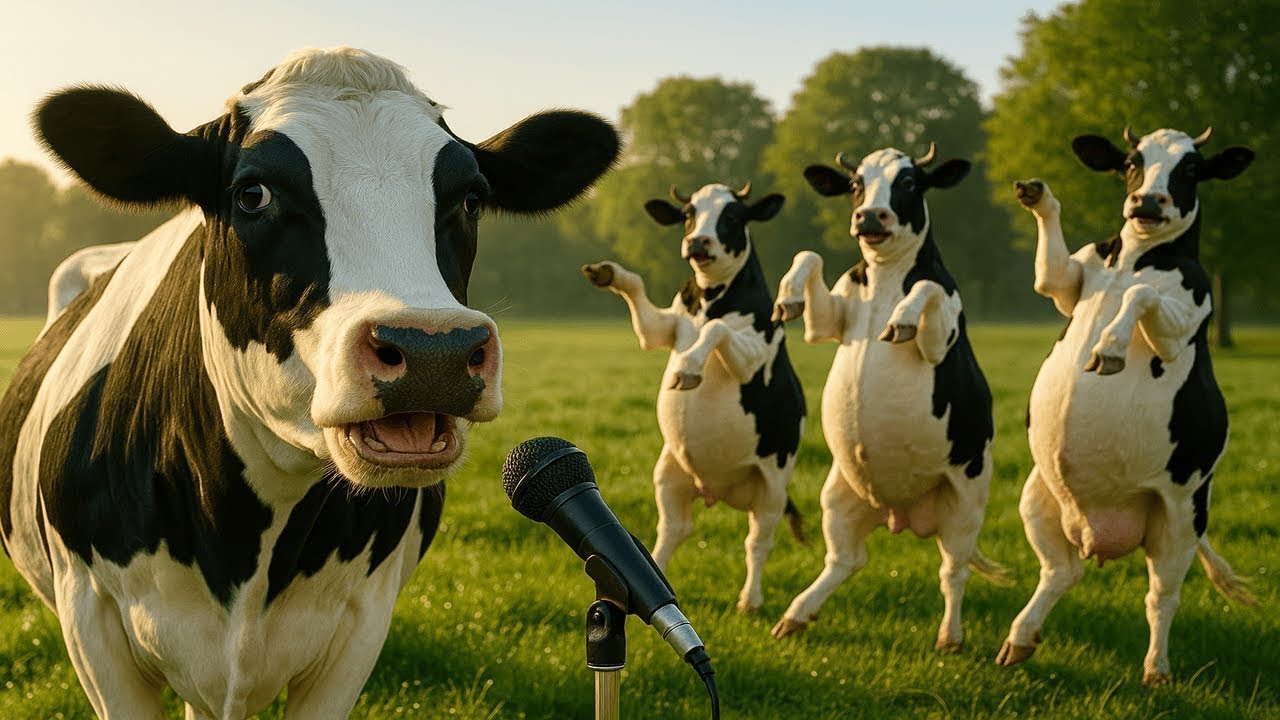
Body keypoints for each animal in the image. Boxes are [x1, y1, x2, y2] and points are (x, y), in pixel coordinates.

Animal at [580, 181, 806, 613]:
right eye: (689, 214)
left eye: (732, 216)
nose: (698, 241)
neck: (708, 298)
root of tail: (722, 490)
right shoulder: (659, 328)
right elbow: (639, 291)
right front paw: (609, 272)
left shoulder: (754, 353)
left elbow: (718, 328)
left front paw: (688, 367)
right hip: (669, 471)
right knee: (673, 529)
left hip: (774, 480)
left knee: (759, 538)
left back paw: (750, 599)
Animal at [769, 144, 1007, 651]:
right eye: (857, 183)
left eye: (910, 182)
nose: (869, 216)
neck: (883, 279)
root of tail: (903, 514)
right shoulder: (827, 323)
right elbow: (809, 254)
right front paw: (788, 296)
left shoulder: (939, 339)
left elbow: (927, 286)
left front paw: (901, 318)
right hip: (837, 494)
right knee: (846, 559)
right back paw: (796, 614)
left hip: (966, 498)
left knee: (953, 569)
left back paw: (950, 636)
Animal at [996, 126, 1256, 686]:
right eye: (1133, 162)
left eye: (1191, 168)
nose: (1148, 201)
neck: (1134, 258)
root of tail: (1102, 530)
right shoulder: (1064, 284)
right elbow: (1051, 270)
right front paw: (1037, 193)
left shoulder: (1184, 321)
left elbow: (1141, 296)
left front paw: (1111, 347)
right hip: (1037, 494)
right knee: (1061, 570)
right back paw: (1020, 637)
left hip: (1181, 514)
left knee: (1162, 596)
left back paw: (1156, 669)